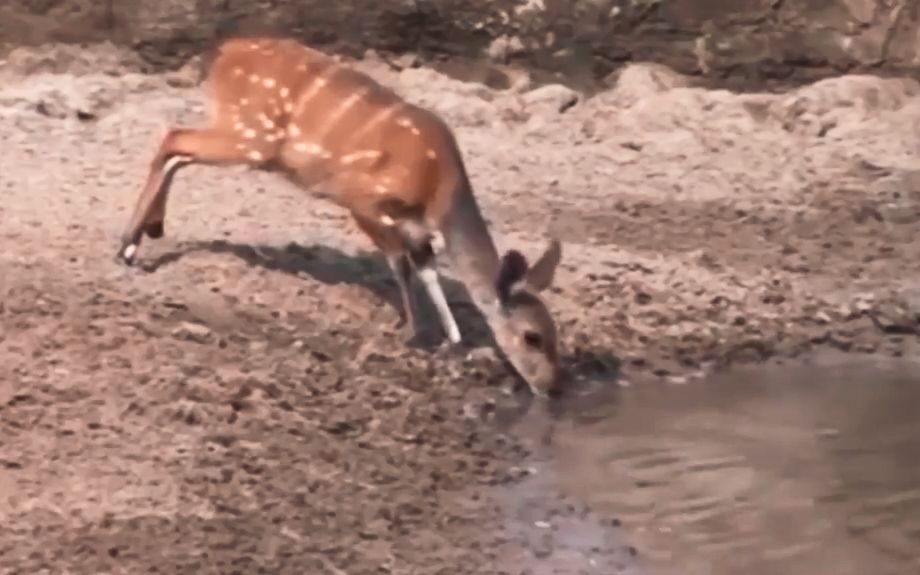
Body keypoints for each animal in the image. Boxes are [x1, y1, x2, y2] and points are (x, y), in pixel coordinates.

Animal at [118, 36, 564, 396]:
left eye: (555, 334)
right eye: (532, 337)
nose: (548, 387)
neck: (438, 187)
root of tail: (224, 51)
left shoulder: (414, 228)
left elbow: (427, 268)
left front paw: (452, 340)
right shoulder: (361, 199)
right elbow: (400, 263)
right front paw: (415, 334)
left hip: (245, 136)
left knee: (178, 150)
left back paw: (149, 231)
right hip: (253, 136)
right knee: (174, 137)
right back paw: (127, 247)